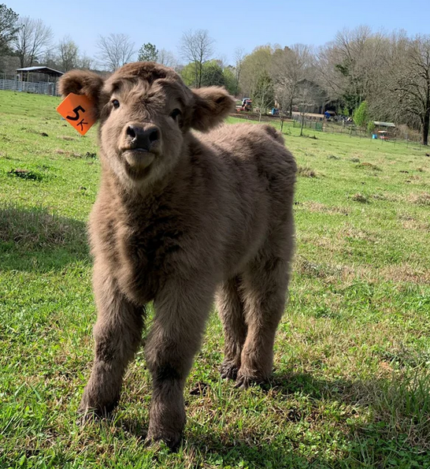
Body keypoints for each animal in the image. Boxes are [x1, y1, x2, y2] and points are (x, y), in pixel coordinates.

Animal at [58, 62, 298, 450]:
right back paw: (230, 365)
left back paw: (252, 372)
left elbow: (168, 354)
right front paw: (94, 409)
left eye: (175, 112)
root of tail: (262, 129)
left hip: (272, 250)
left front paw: (164, 432)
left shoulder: (187, 281)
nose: (141, 132)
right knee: (232, 308)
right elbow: (109, 341)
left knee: (265, 307)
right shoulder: (109, 272)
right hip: (228, 258)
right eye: (114, 102)